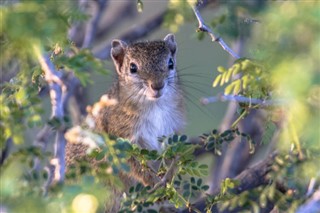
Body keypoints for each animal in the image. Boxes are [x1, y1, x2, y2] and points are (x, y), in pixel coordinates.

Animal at [65, 33, 185, 211]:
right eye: (132, 68)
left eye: (170, 63)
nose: (157, 85)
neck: (154, 106)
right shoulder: (121, 139)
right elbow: (134, 165)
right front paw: (155, 184)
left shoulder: (171, 134)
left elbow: (171, 158)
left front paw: (169, 180)